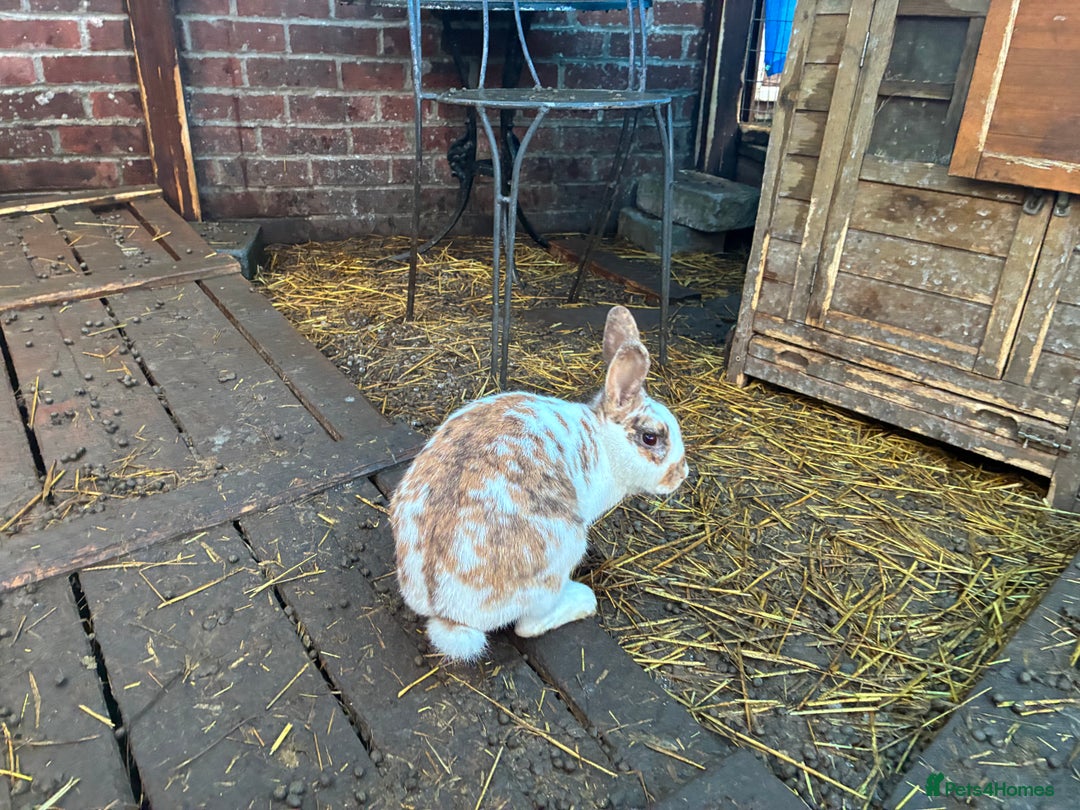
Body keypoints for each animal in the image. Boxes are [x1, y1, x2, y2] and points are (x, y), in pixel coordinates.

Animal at [390, 305, 688, 662]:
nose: (682, 474)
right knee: (528, 626)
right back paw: (582, 600)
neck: (602, 439)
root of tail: (446, 613)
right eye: (650, 437)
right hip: (564, 552)